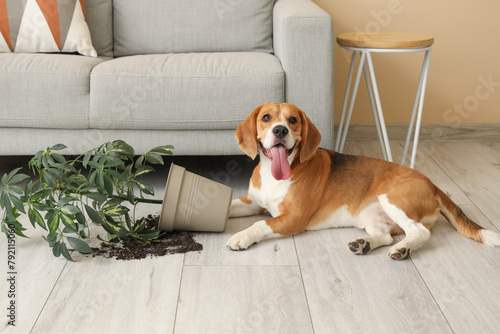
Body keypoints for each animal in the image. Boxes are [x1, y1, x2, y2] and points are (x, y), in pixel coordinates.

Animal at [227, 103, 500, 260]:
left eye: (292, 120)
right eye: (266, 118)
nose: (280, 130)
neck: (272, 175)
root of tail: (432, 184)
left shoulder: (294, 218)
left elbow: (260, 224)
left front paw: (241, 237)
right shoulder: (251, 202)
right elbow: (230, 206)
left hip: (391, 198)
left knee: (419, 232)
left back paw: (401, 250)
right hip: (372, 218)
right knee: (387, 236)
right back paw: (366, 245)